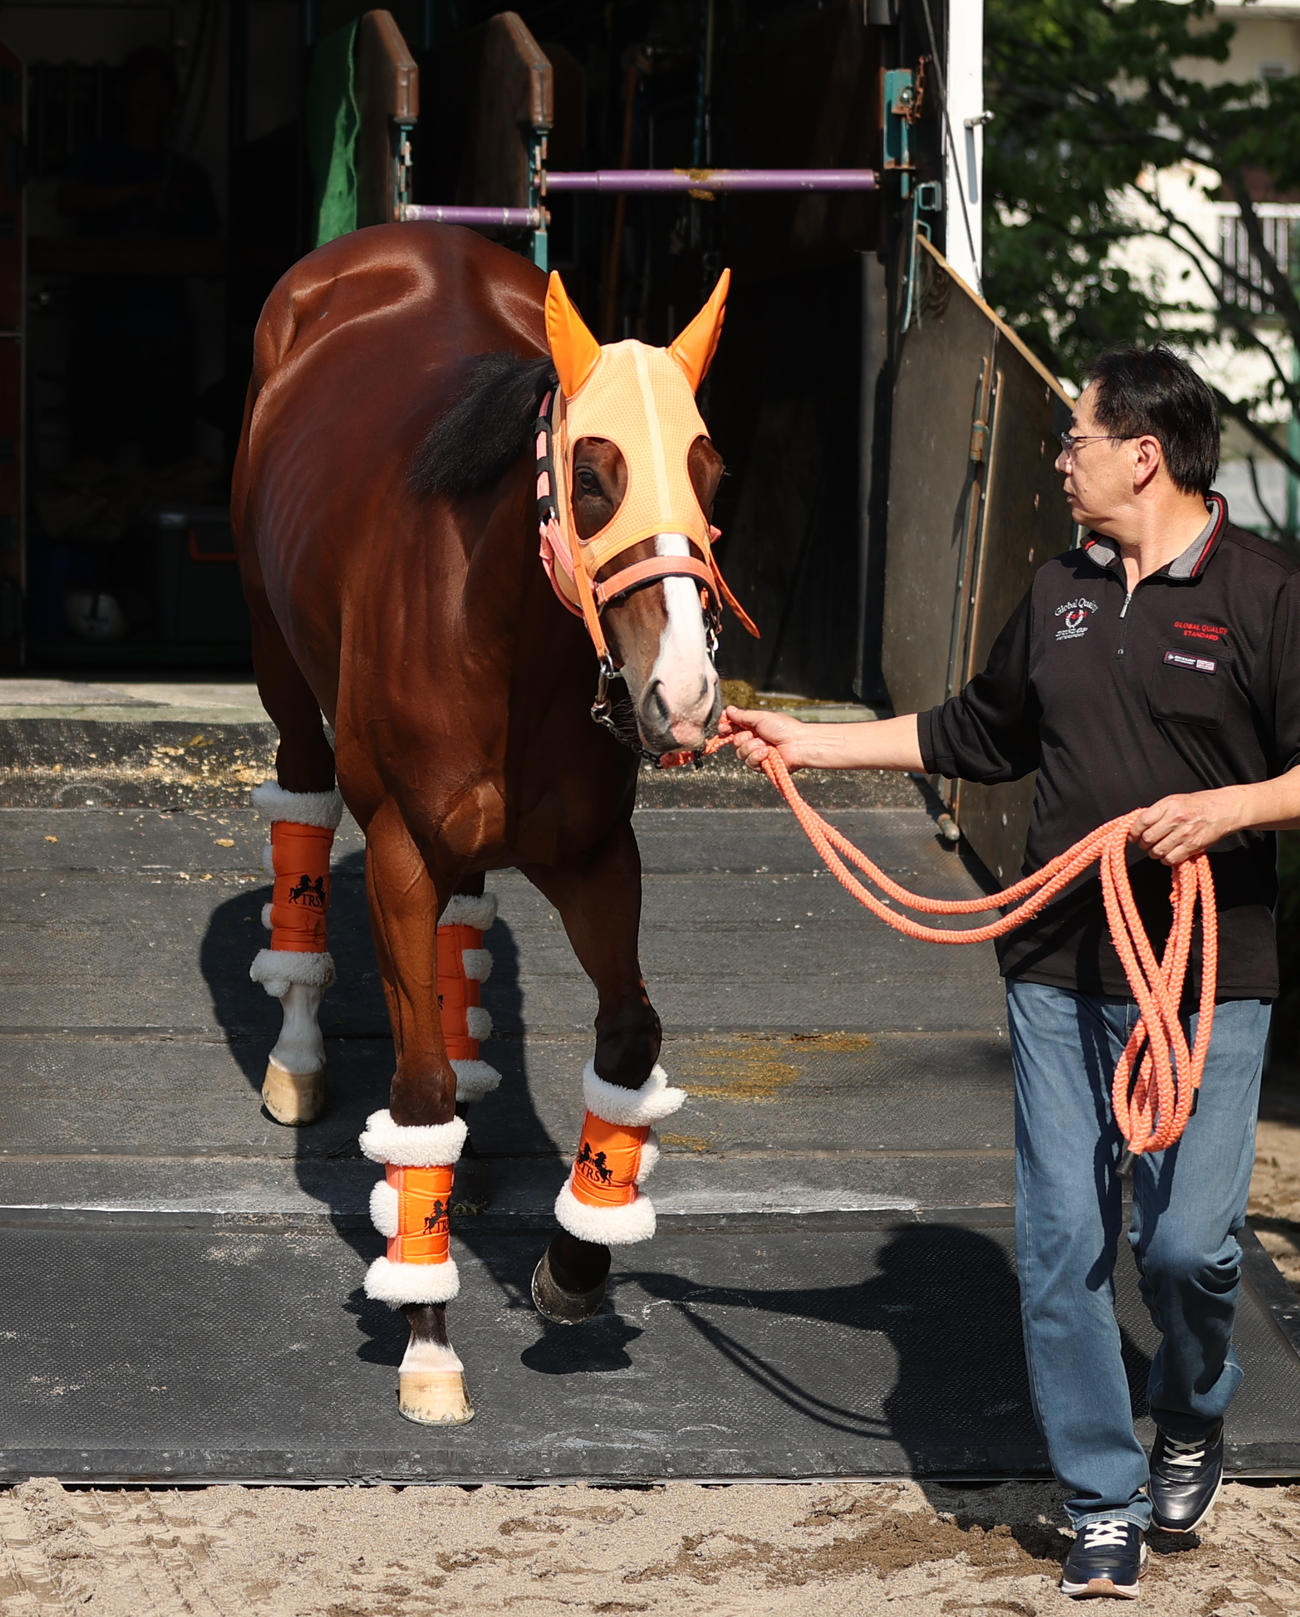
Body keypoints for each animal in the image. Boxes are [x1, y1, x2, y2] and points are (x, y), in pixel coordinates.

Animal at [231, 222, 751, 1425]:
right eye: (595, 476)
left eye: (710, 474)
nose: (686, 697)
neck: (502, 635)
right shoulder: (399, 849)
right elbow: (414, 1093)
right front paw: (426, 1336)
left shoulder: (598, 855)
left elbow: (630, 1037)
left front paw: (578, 1256)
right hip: (281, 664)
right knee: (301, 810)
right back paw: (298, 1052)